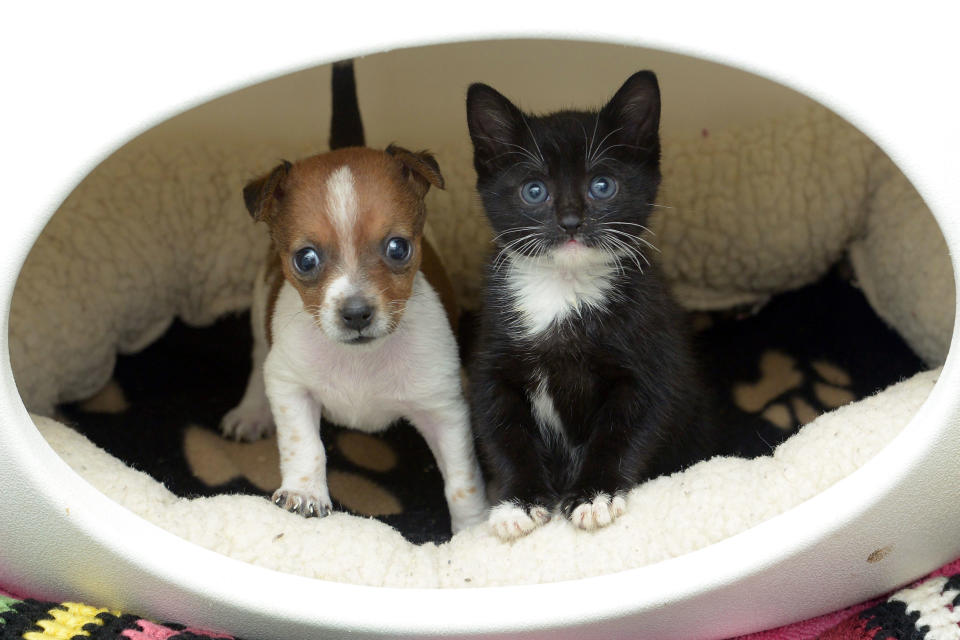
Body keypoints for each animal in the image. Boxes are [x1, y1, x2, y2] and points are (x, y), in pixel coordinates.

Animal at [223, 146, 488, 536]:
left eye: (398, 248)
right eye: (306, 259)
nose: (357, 313)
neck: (362, 359)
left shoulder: (444, 411)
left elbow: (461, 481)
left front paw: (473, 531)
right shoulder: (291, 386)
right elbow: (306, 444)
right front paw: (305, 492)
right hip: (261, 314)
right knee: (258, 361)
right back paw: (251, 413)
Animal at [464, 71, 712, 540]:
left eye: (602, 186)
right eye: (534, 190)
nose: (570, 221)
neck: (562, 291)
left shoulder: (651, 356)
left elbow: (626, 429)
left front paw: (595, 495)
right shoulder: (492, 360)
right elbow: (503, 431)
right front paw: (518, 501)